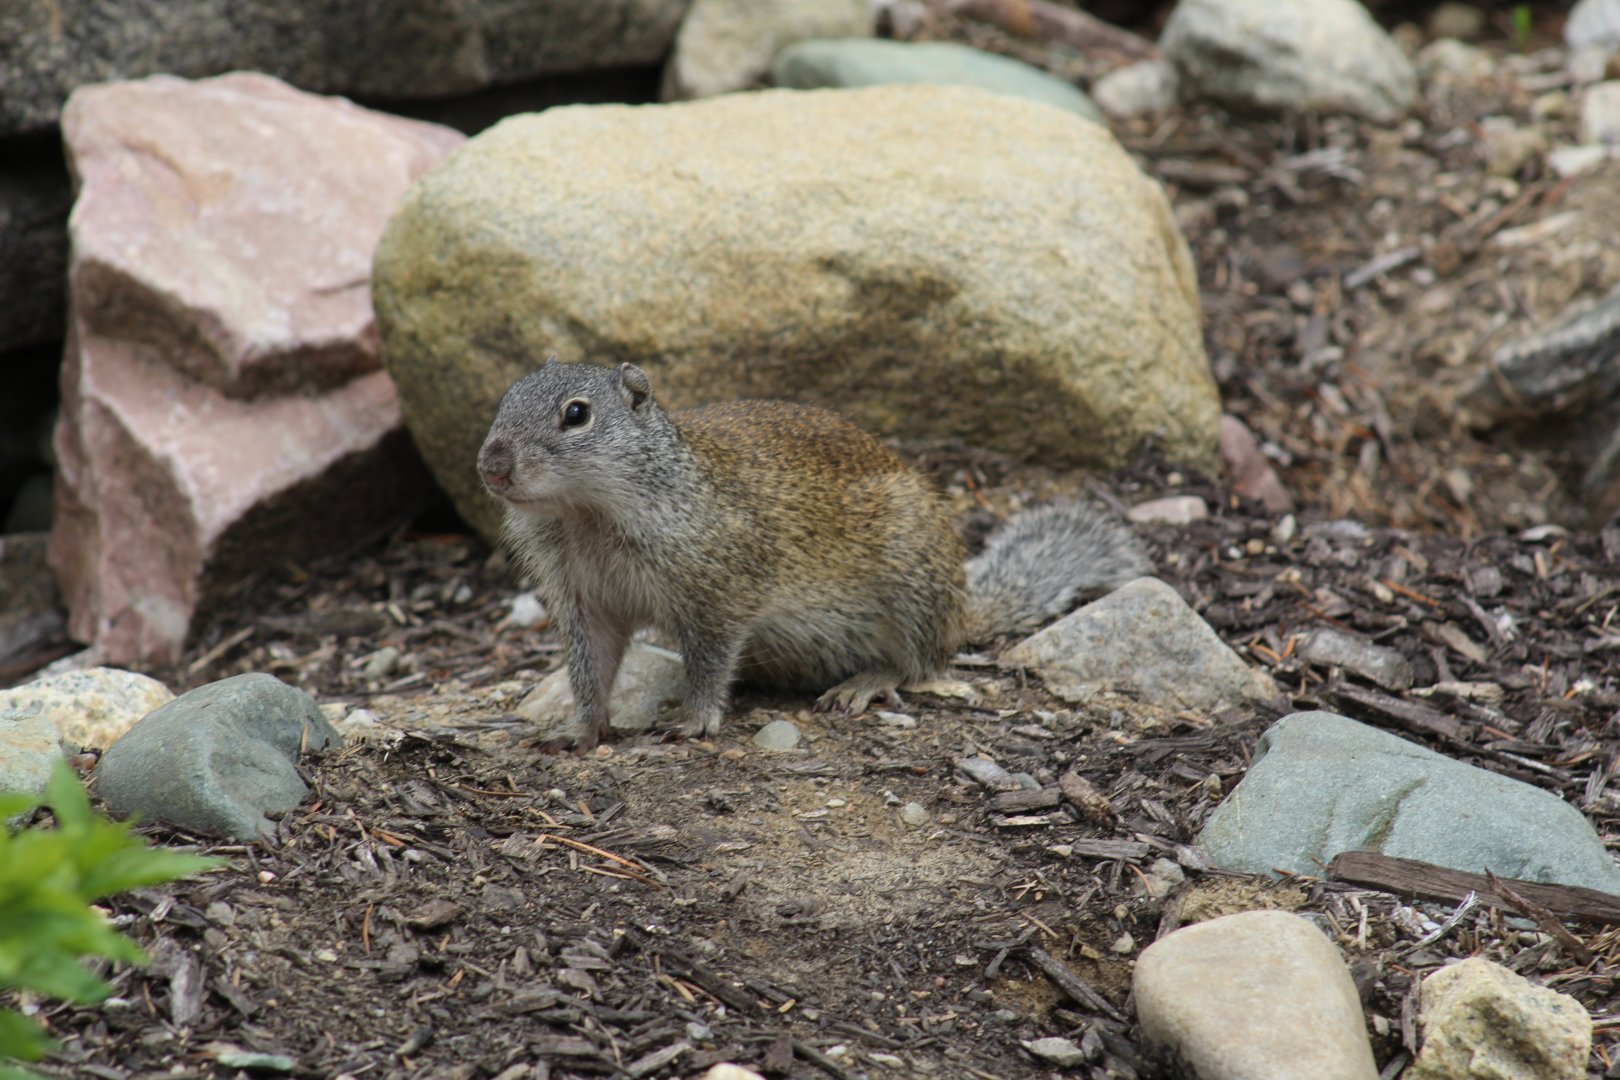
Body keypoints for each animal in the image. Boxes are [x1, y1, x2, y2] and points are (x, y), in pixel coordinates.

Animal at [477, 359, 1149, 750]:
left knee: (923, 664)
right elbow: (590, 665)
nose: (492, 465)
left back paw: (865, 683)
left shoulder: (721, 590)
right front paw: (580, 728)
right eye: (504, 400)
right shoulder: (585, 598)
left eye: (576, 414)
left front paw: (695, 717)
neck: (586, 515)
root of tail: (962, 610)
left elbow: (710, 660)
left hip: (911, 584)